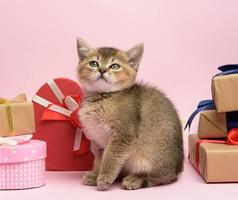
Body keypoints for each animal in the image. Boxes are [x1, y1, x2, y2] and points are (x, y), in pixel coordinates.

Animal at [76, 37, 184, 191]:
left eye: (115, 66)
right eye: (93, 63)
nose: (102, 70)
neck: (102, 97)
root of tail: (178, 167)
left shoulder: (123, 135)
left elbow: (111, 157)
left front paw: (104, 178)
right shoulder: (98, 140)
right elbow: (99, 159)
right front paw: (96, 174)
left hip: (149, 156)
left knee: (164, 177)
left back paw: (135, 179)